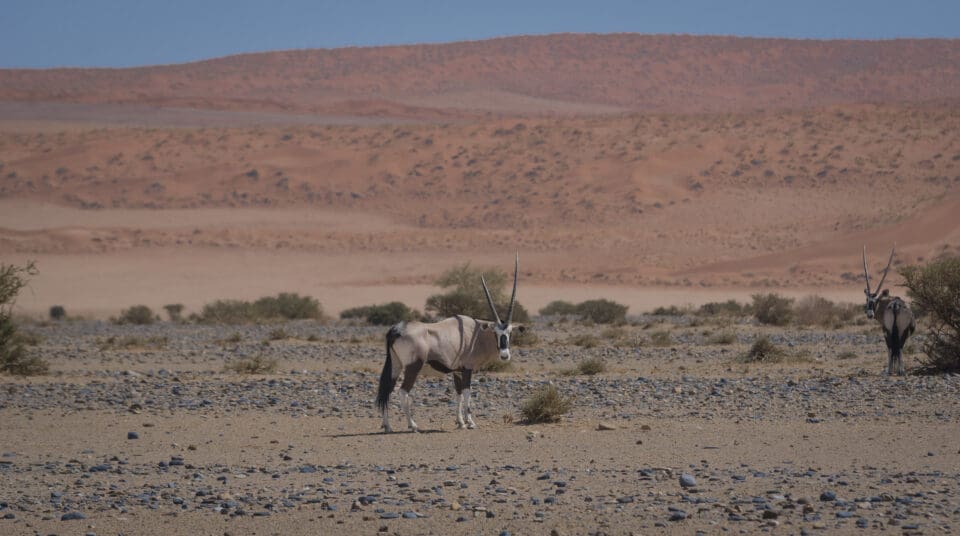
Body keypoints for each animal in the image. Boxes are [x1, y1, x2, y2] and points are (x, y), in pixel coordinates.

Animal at [376, 254, 525, 433]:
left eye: (510, 332)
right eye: (495, 332)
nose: (504, 355)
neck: (476, 333)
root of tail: (396, 329)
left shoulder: (457, 371)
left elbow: (458, 394)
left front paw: (460, 422)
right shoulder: (467, 368)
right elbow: (467, 393)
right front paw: (470, 422)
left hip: (396, 366)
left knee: (387, 390)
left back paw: (388, 426)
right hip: (413, 367)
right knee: (403, 392)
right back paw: (413, 425)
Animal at [862, 245, 915, 376]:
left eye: (875, 300)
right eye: (867, 299)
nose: (870, 314)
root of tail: (896, 305)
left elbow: (890, 349)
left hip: (891, 331)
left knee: (894, 347)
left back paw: (892, 370)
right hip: (900, 331)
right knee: (898, 347)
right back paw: (899, 370)